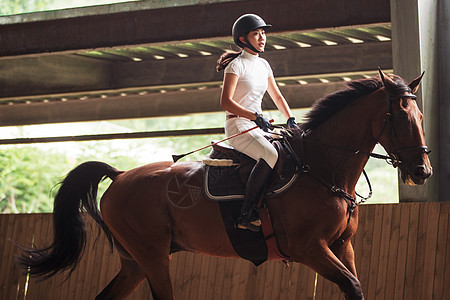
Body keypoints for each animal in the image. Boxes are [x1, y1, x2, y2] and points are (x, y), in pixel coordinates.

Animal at [16, 69, 432, 298]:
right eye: (399, 116)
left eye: (421, 115)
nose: (422, 171)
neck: (322, 167)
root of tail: (119, 176)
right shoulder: (310, 249)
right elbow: (352, 286)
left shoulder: (342, 246)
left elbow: (355, 288)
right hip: (153, 258)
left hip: (135, 262)